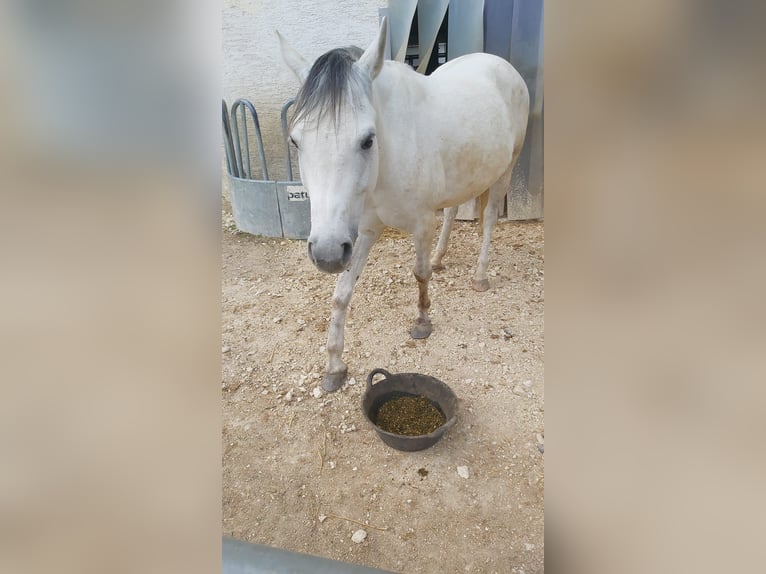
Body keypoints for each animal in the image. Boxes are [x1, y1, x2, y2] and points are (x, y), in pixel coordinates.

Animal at [280, 19, 532, 396]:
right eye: (296, 141)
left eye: (368, 140)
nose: (325, 254)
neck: (389, 156)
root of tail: (502, 65)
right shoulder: (362, 231)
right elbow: (341, 294)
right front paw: (334, 366)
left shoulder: (420, 223)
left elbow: (419, 273)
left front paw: (422, 322)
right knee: (454, 210)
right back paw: (442, 256)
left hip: (508, 167)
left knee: (487, 219)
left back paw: (480, 276)